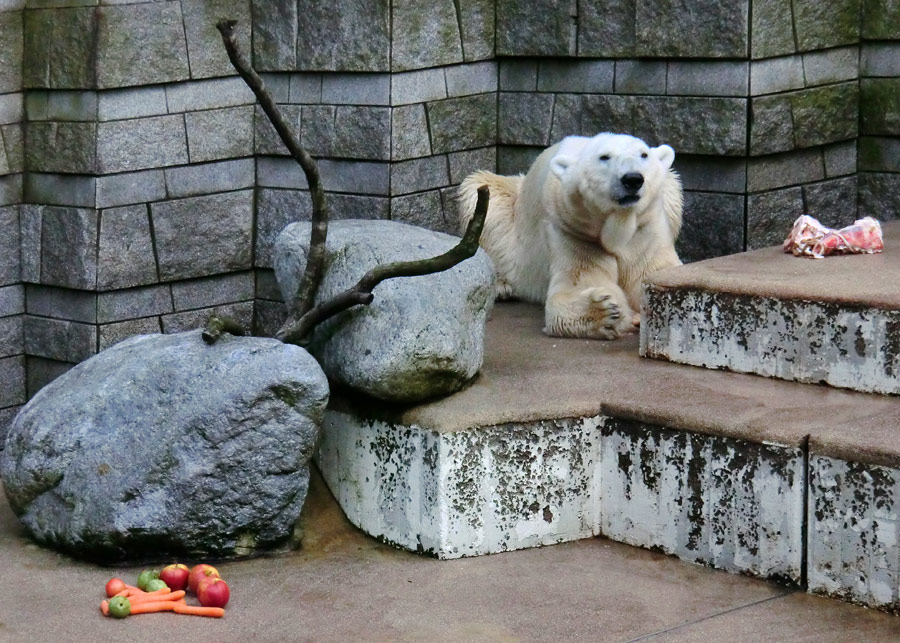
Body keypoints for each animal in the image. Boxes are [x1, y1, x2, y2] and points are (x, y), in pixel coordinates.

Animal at [458, 133, 684, 340]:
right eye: (604, 157)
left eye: (644, 154)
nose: (633, 179)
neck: (619, 225)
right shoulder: (574, 231)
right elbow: (579, 282)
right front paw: (604, 311)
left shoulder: (646, 229)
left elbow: (654, 273)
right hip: (509, 213)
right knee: (482, 195)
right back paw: (503, 286)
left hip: (669, 188)